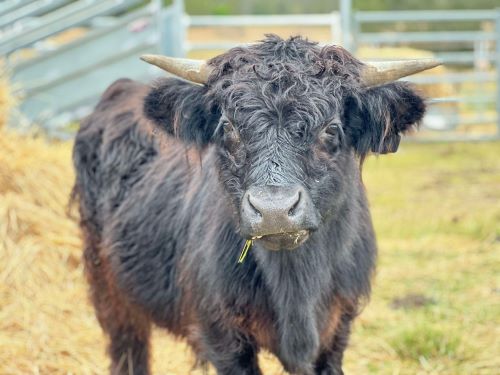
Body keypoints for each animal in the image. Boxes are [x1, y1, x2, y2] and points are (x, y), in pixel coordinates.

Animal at [72, 36, 440, 375]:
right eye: (228, 128)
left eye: (331, 129)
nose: (274, 210)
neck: (296, 286)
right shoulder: (222, 336)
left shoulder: (338, 329)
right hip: (109, 288)